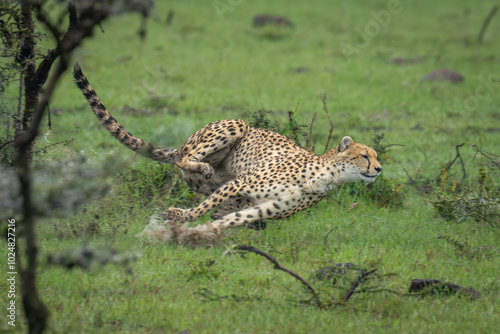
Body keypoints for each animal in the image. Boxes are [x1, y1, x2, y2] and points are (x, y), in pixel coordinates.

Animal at [74, 64, 380, 244]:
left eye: (377, 157)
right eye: (365, 156)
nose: (378, 170)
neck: (326, 176)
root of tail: (181, 145)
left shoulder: (263, 206)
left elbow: (231, 219)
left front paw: (202, 232)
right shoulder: (239, 183)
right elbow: (200, 209)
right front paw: (177, 216)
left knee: (222, 205)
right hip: (234, 127)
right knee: (188, 159)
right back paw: (201, 166)